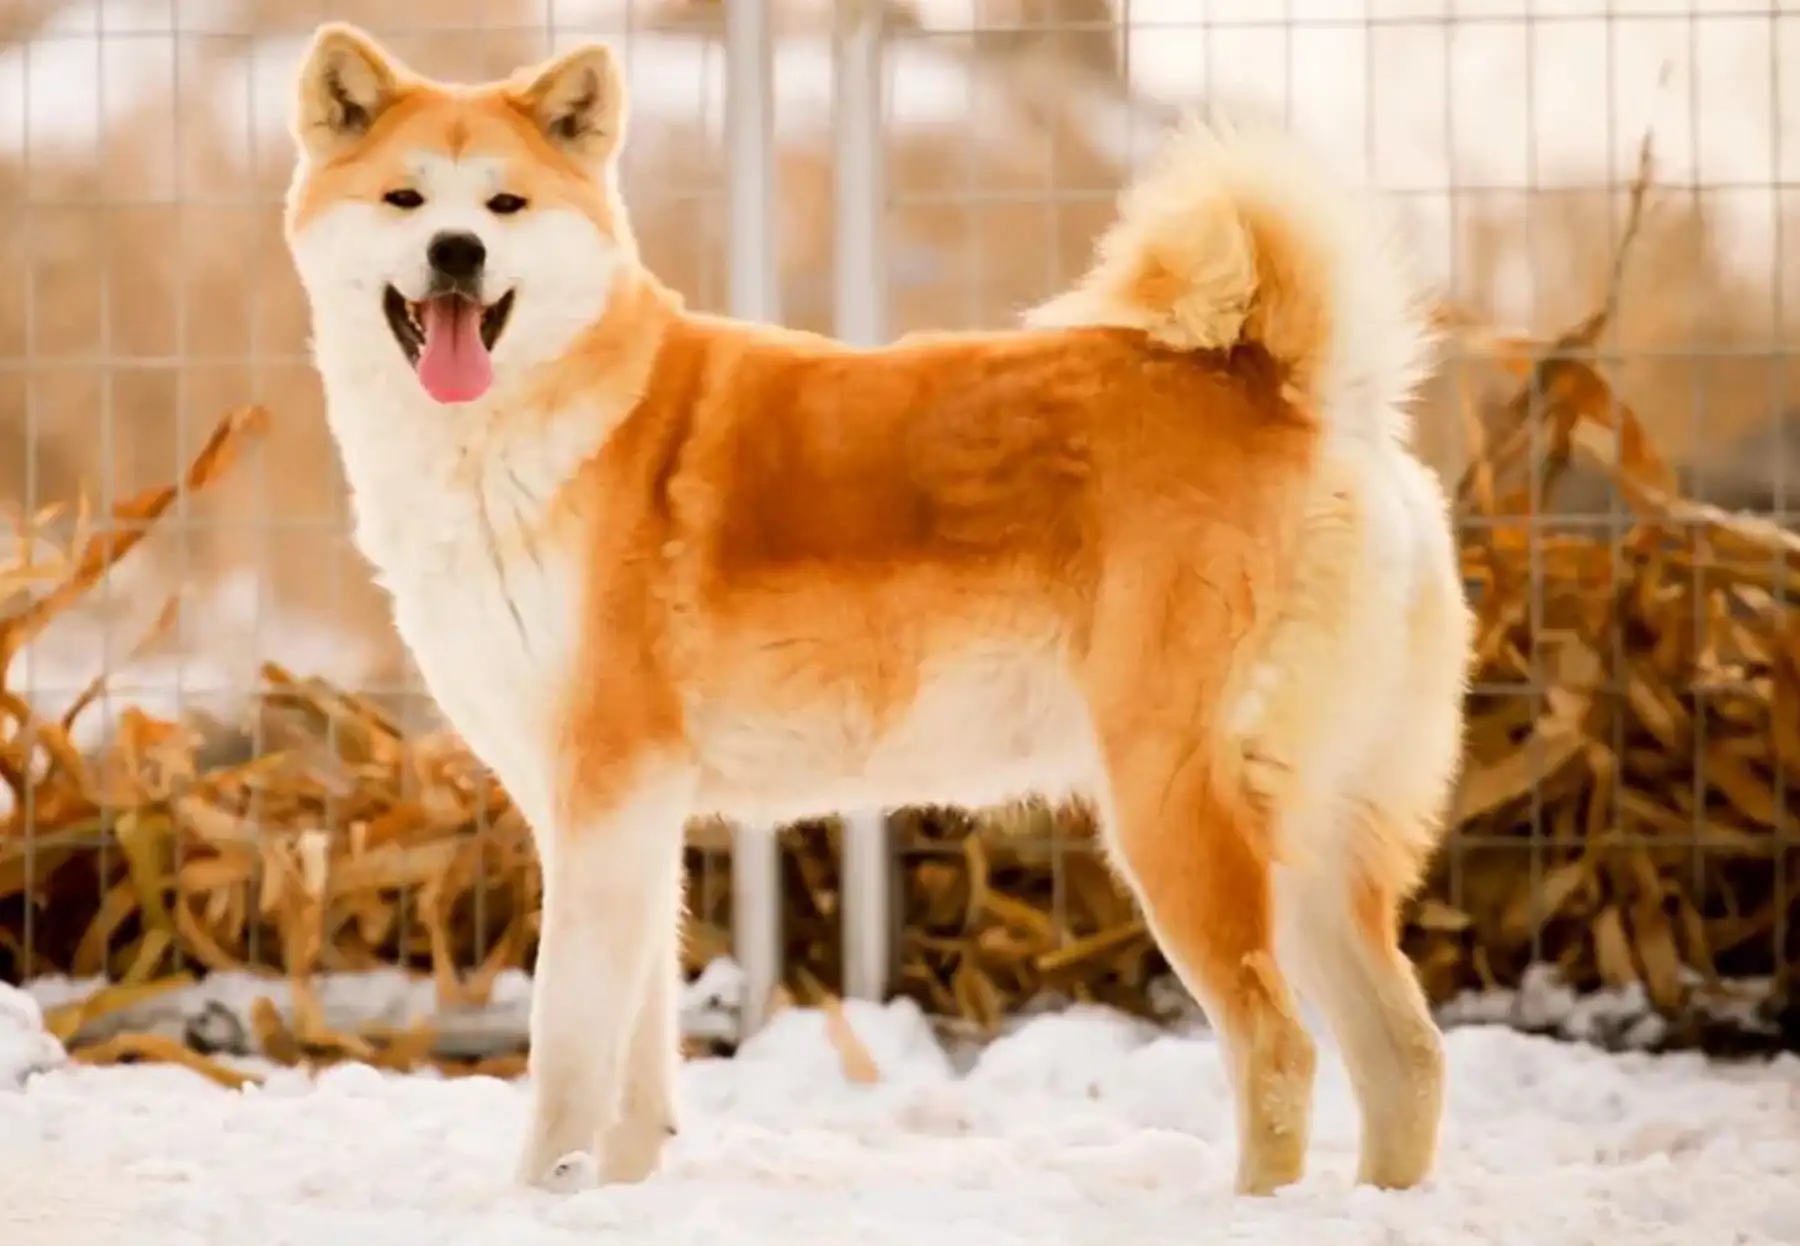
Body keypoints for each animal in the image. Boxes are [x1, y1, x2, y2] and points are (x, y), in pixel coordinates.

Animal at [284, 21, 1476, 1195]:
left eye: (504, 206)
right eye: (405, 199)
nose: (456, 253)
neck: (539, 430)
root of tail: (1300, 396)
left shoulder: (608, 793)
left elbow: (568, 1044)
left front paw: (543, 1194)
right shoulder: (620, 818)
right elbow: (638, 1052)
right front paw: (613, 1193)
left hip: (1176, 810)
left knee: (1279, 1048)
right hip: (1316, 842)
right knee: (1405, 1055)